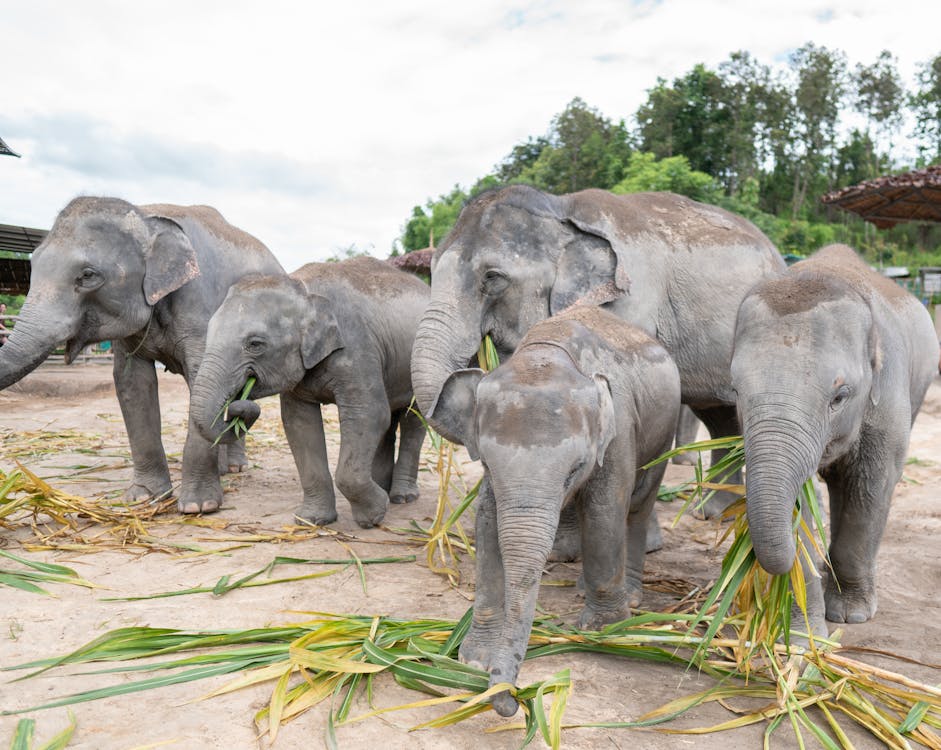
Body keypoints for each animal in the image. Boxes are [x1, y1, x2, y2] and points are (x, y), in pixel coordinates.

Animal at [0, 197, 284, 516]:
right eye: (32, 265)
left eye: (87, 275)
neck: (147, 218)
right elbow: (133, 383)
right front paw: (144, 498)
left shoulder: (200, 305)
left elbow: (199, 378)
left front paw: (199, 506)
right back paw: (224, 470)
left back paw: (235, 468)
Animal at [190, 258, 430, 528]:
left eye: (255, 344)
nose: (239, 404)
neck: (302, 288)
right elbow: (299, 424)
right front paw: (312, 520)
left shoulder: (356, 347)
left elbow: (367, 415)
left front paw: (373, 517)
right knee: (389, 423)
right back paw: (383, 487)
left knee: (412, 422)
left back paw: (401, 497)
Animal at [434, 306, 684, 716]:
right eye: (484, 461)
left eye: (574, 468)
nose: (514, 702)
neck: (547, 354)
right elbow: (487, 524)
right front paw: (474, 659)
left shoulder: (617, 430)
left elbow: (604, 513)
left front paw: (602, 630)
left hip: (665, 429)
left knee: (638, 504)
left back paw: (629, 599)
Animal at [732, 247, 936, 636]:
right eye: (735, 390)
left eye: (840, 396)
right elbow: (803, 504)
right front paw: (803, 633)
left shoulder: (887, 401)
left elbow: (871, 486)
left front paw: (850, 614)